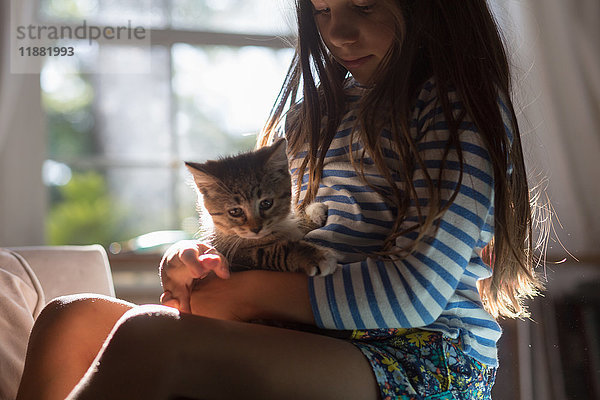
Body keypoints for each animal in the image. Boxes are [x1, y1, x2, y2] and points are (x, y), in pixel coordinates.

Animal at [186, 139, 338, 276]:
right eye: (235, 211)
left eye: (266, 203)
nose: (256, 229)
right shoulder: (238, 257)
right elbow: (273, 251)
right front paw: (315, 256)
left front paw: (314, 213)